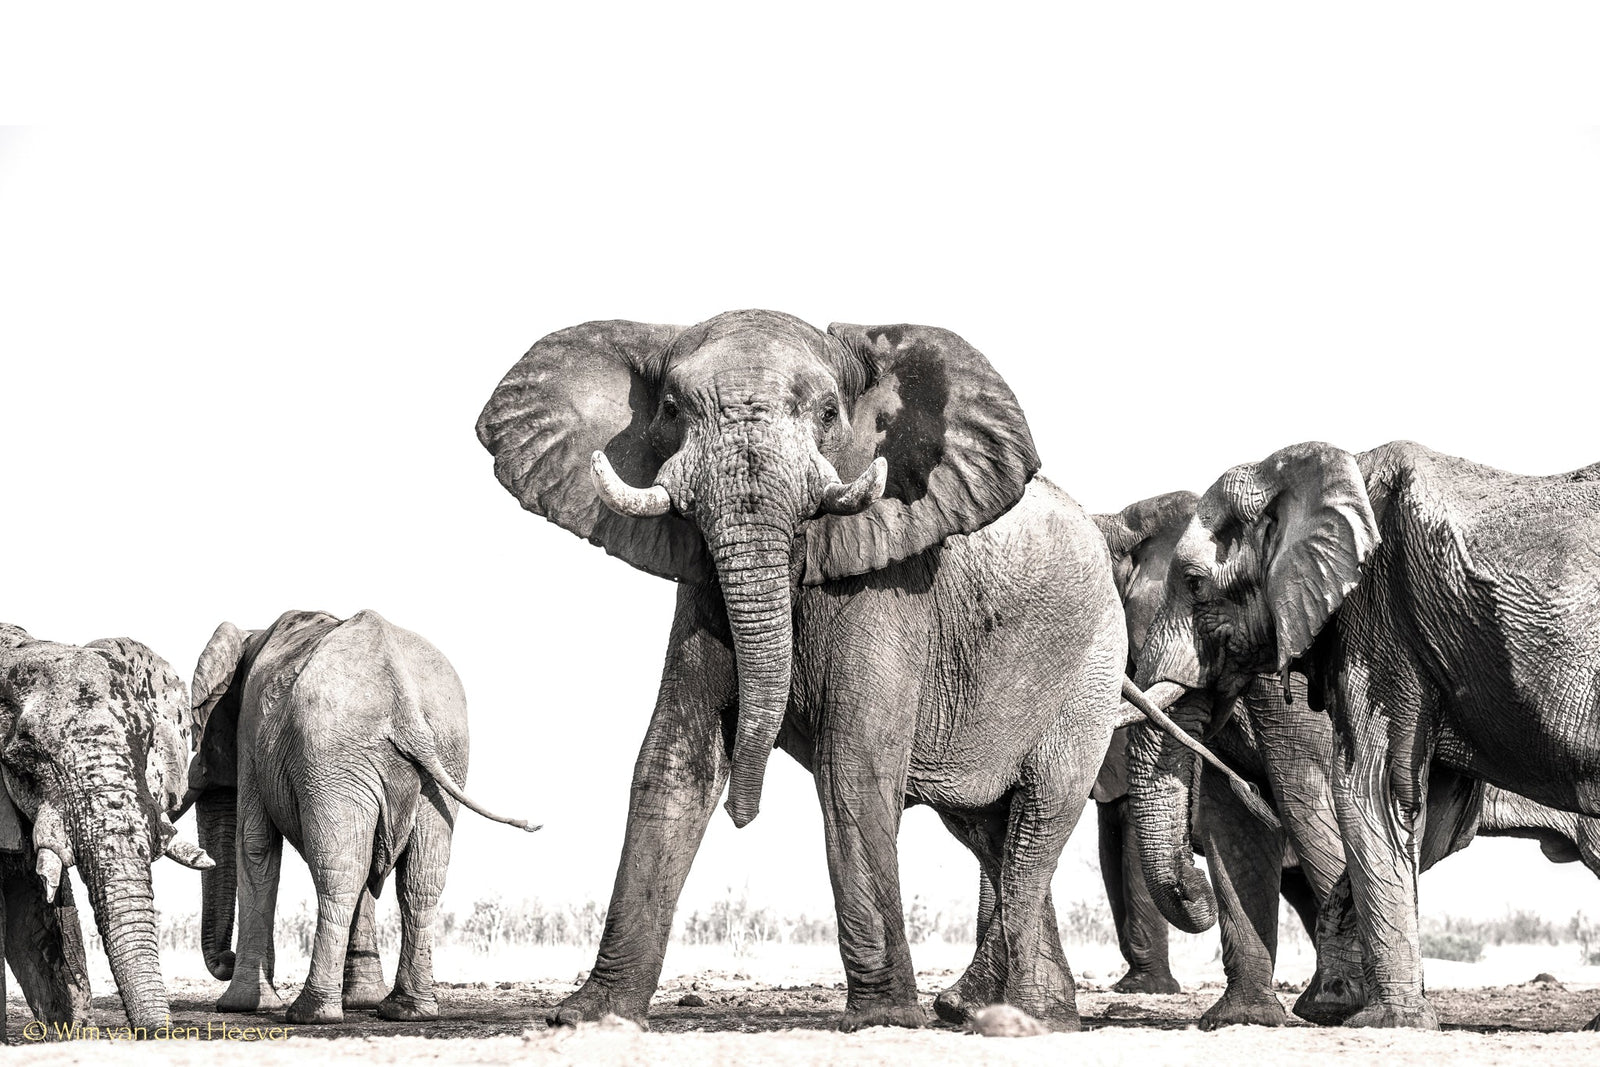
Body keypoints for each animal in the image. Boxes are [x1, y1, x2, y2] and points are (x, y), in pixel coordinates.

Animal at [183, 609, 537, 1025]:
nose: (226, 958)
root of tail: (404, 702)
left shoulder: (251, 736)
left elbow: (256, 845)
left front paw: (244, 1006)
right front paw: (362, 1000)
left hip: (333, 754)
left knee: (340, 872)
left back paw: (311, 1013)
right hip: (441, 751)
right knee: (419, 876)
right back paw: (407, 1011)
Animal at [474, 309, 1189, 1031]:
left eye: (826, 413)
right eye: (671, 409)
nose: (744, 814)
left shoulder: (892, 588)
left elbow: (852, 764)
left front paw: (884, 1019)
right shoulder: (701, 586)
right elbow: (673, 757)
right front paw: (589, 1016)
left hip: (1087, 667)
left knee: (1038, 816)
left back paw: (1019, 1014)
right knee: (992, 831)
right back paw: (1014, 1011)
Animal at [1126, 440, 1600, 1029]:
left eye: (1194, 583)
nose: (1193, 888)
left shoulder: (1379, 616)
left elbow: (1367, 792)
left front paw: (1382, 1019)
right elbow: (1417, 809)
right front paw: (1315, 1010)